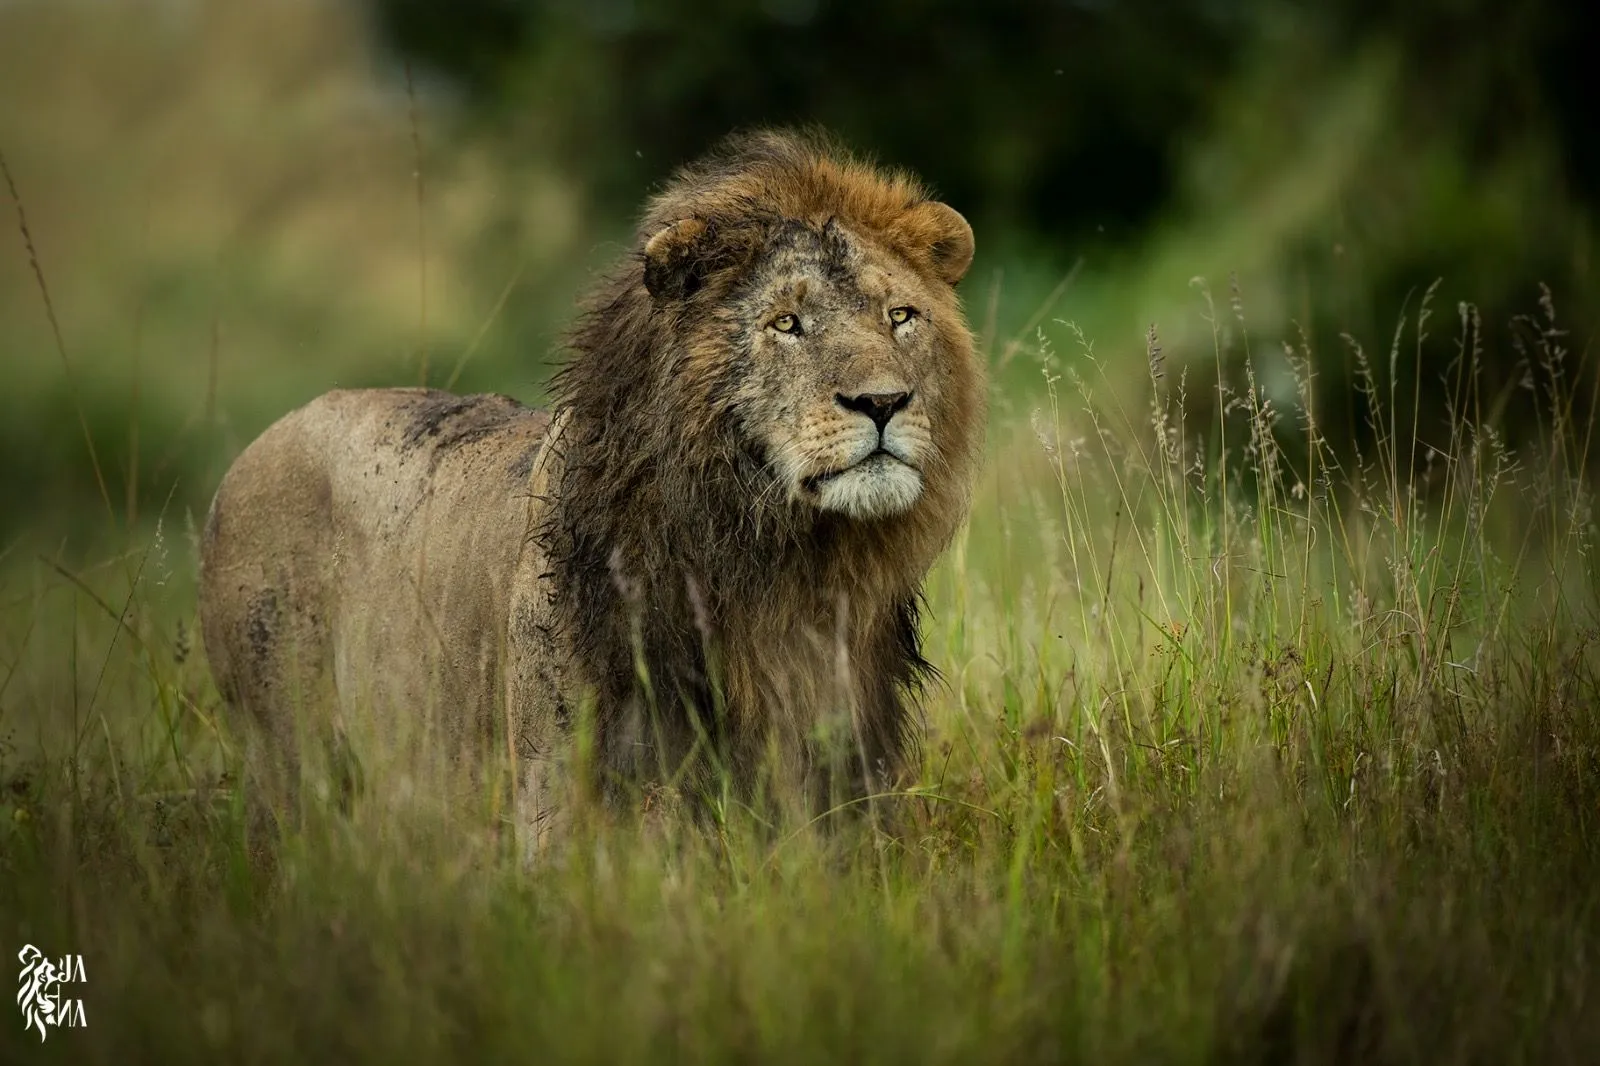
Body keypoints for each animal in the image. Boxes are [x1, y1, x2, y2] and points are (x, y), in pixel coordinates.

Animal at [198, 128, 985, 849]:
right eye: (785, 323)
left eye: (901, 317)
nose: (883, 402)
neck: (786, 561)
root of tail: (252, 452)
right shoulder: (558, 798)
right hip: (286, 761)